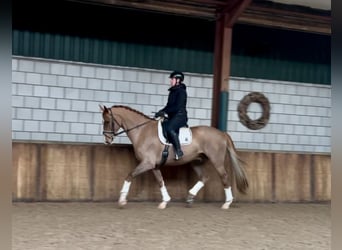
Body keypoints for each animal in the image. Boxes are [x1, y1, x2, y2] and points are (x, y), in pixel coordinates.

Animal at [99, 104, 248, 210]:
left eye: (107, 121)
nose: (107, 140)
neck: (142, 131)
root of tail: (222, 133)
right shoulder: (153, 165)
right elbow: (160, 181)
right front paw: (165, 201)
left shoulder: (147, 163)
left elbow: (129, 175)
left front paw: (122, 200)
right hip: (196, 161)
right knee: (204, 177)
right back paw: (190, 198)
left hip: (216, 161)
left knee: (224, 177)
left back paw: (227, 203)